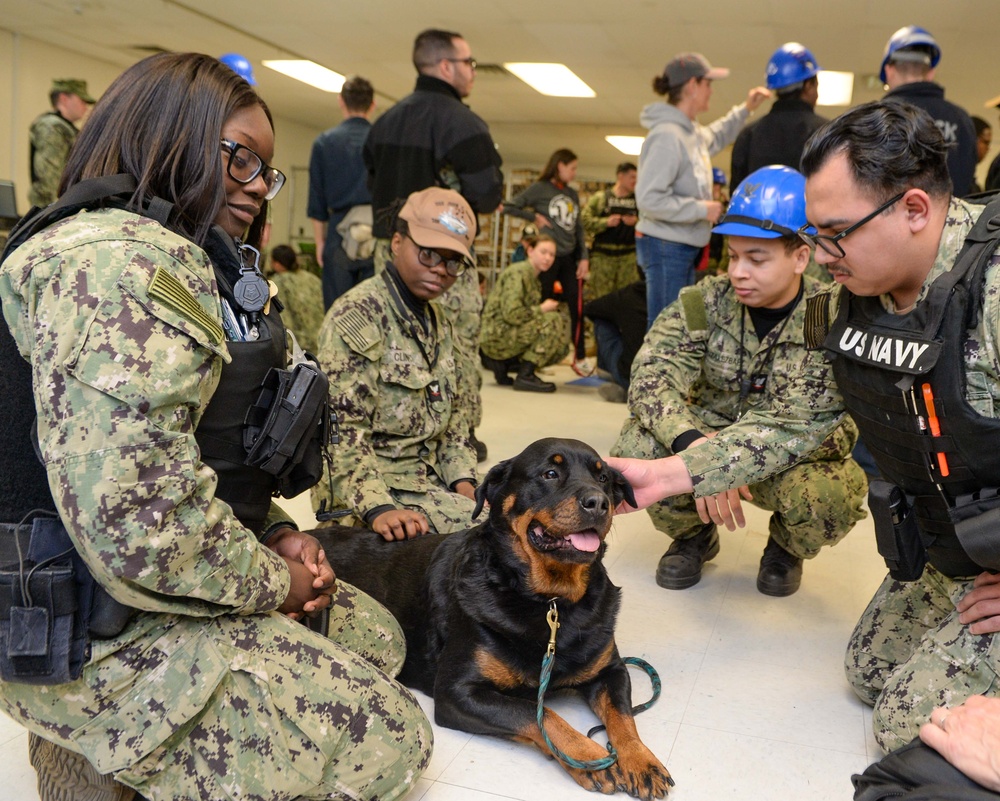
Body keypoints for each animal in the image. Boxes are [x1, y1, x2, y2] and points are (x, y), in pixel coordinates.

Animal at [316, 440, 672, 796]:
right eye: (550, 473)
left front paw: (641, 760)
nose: (598, 502)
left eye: (603, 479)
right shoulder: (456, 693)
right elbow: (537, 712)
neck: (550, 602)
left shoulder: (611, 670)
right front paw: (586, 755)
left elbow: (623, 718)